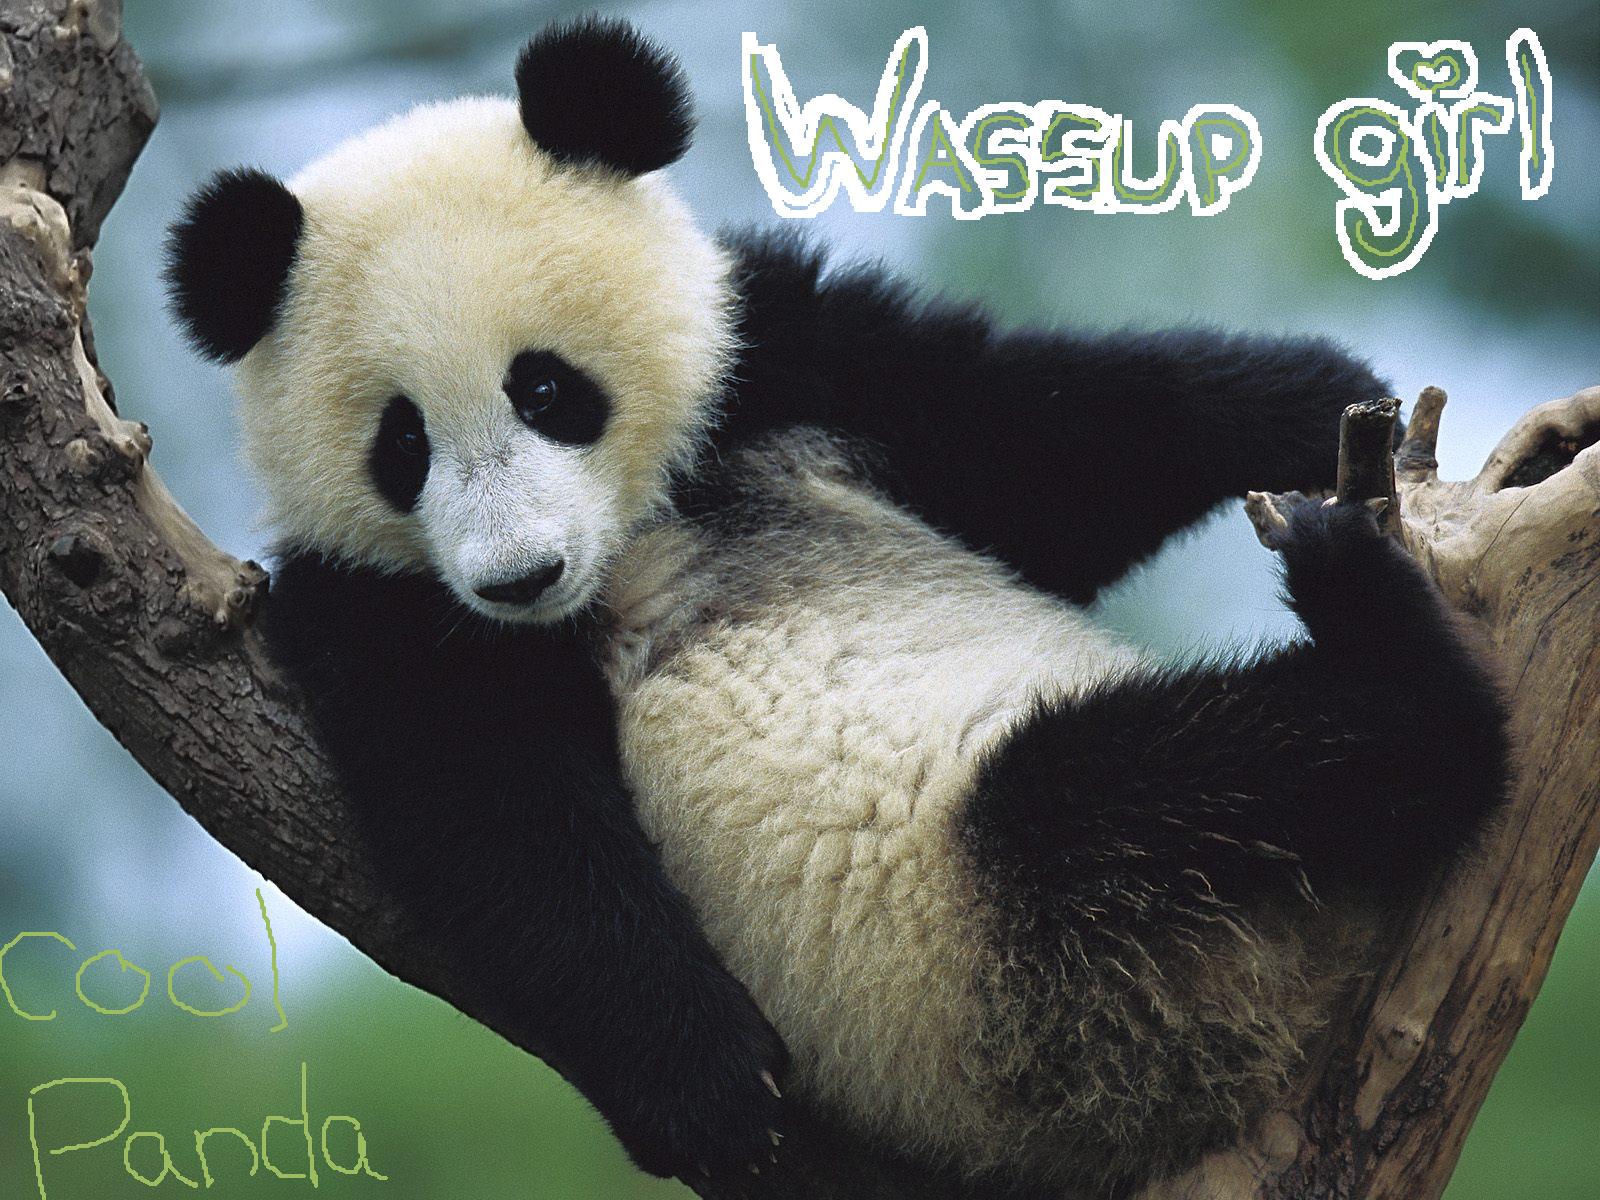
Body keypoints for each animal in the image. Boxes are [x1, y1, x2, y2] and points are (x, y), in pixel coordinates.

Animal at [163, 17, 1511, 1195]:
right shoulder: (380, 606)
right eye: (403, 445)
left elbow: (1039, 440)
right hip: (1035, 966)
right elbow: (497, 812)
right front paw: (706, 1083)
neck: (637, 533)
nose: (518, 576)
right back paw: (1375, 638)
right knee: (1151, 789)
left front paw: (1314, 396)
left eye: (545, 389)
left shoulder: (781, 365)